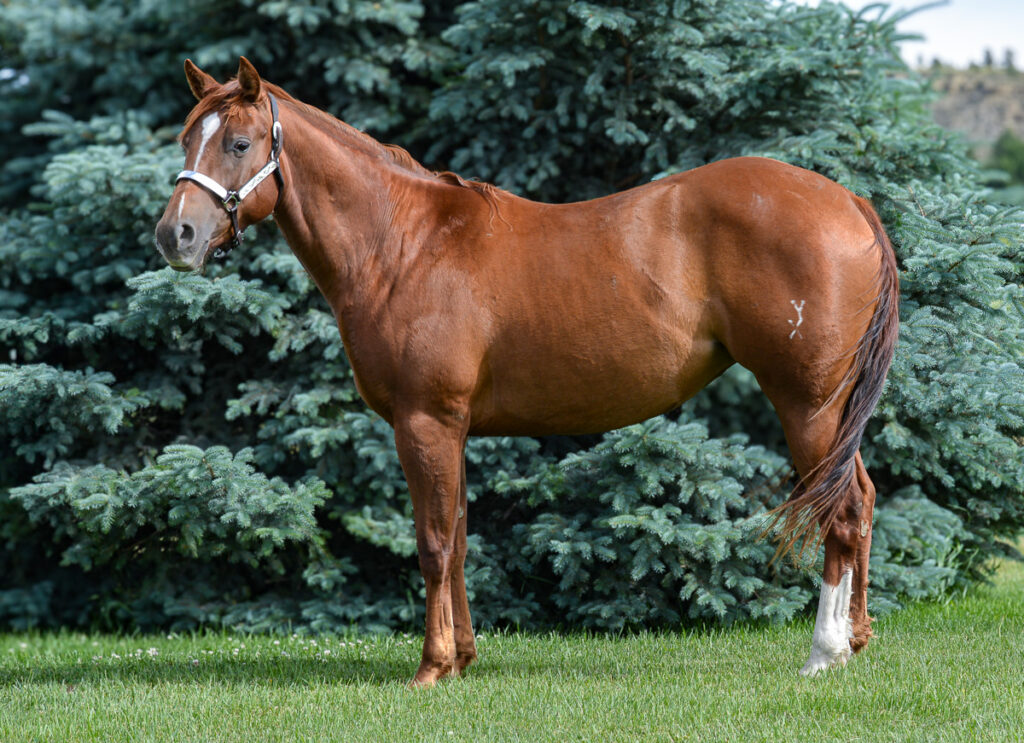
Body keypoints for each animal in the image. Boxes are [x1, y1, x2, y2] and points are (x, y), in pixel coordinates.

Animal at [151, 56, 897, 687]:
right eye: (187, 139)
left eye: (239, 143)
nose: (174, 236)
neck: (403, 244)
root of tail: (849, 203)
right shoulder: (452, 429)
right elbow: (458, 537)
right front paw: (462, 658)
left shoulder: (425, 422)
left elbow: (432, 542)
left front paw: (430, 667)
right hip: (830, 411)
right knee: (861, 497)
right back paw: (856, 639)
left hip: (806, 402)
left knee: (841, 509)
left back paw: (824, 652)